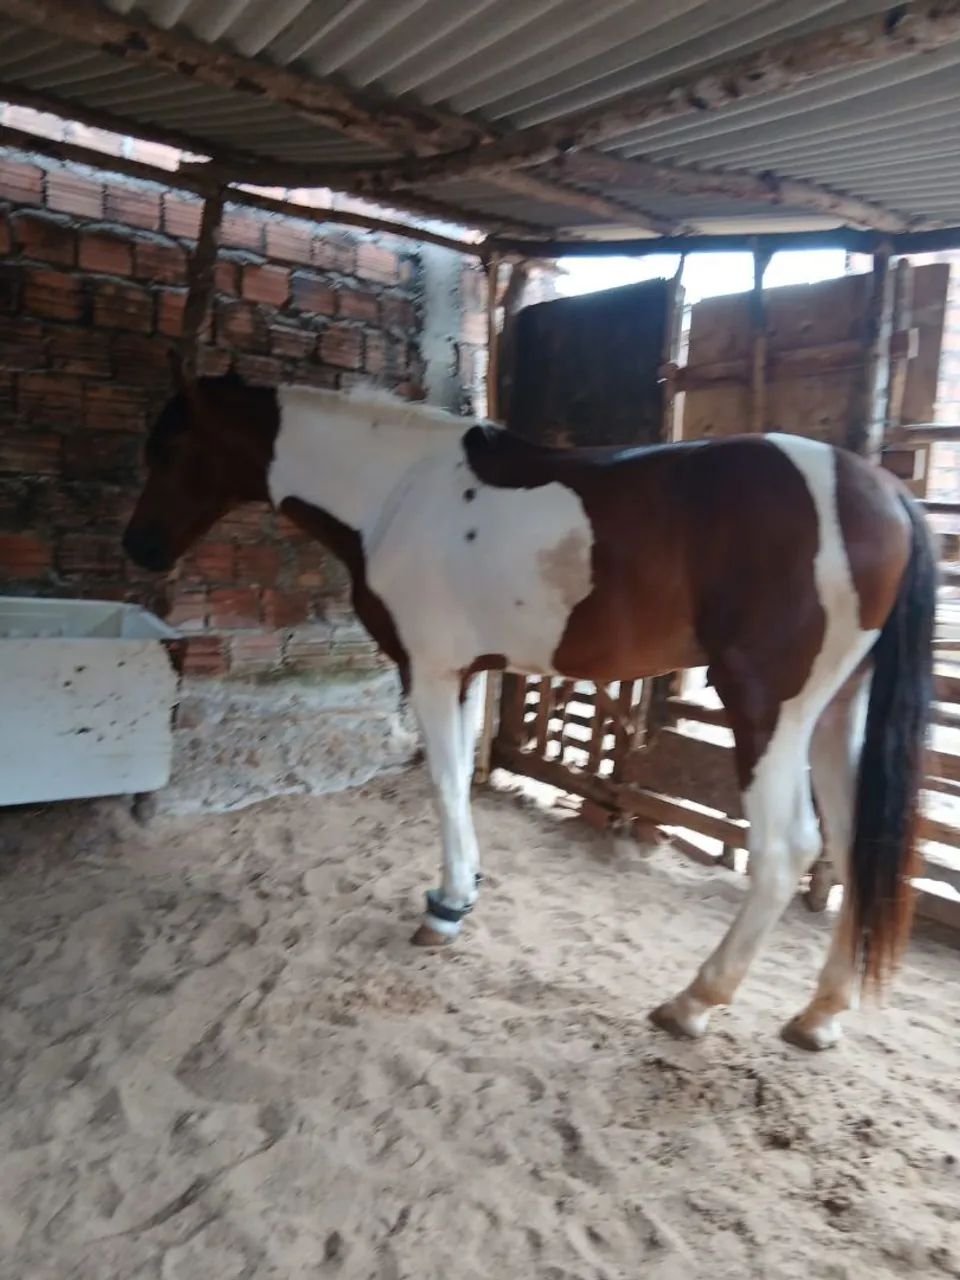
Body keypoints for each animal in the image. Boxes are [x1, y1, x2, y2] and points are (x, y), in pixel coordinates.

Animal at [123, 367, 935, 1051]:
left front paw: (445, 909)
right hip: (836, 714)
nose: (139, 547)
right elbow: (458, 782)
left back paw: (693, 1003)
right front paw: (462, 894)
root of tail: (885, 496)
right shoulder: (468, 672)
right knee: (853, 846)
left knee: (785, 850)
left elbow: (442, 784)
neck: (398, 489)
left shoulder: (430, 668)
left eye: (171, 448)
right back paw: (820, 1015)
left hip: (766, 707)